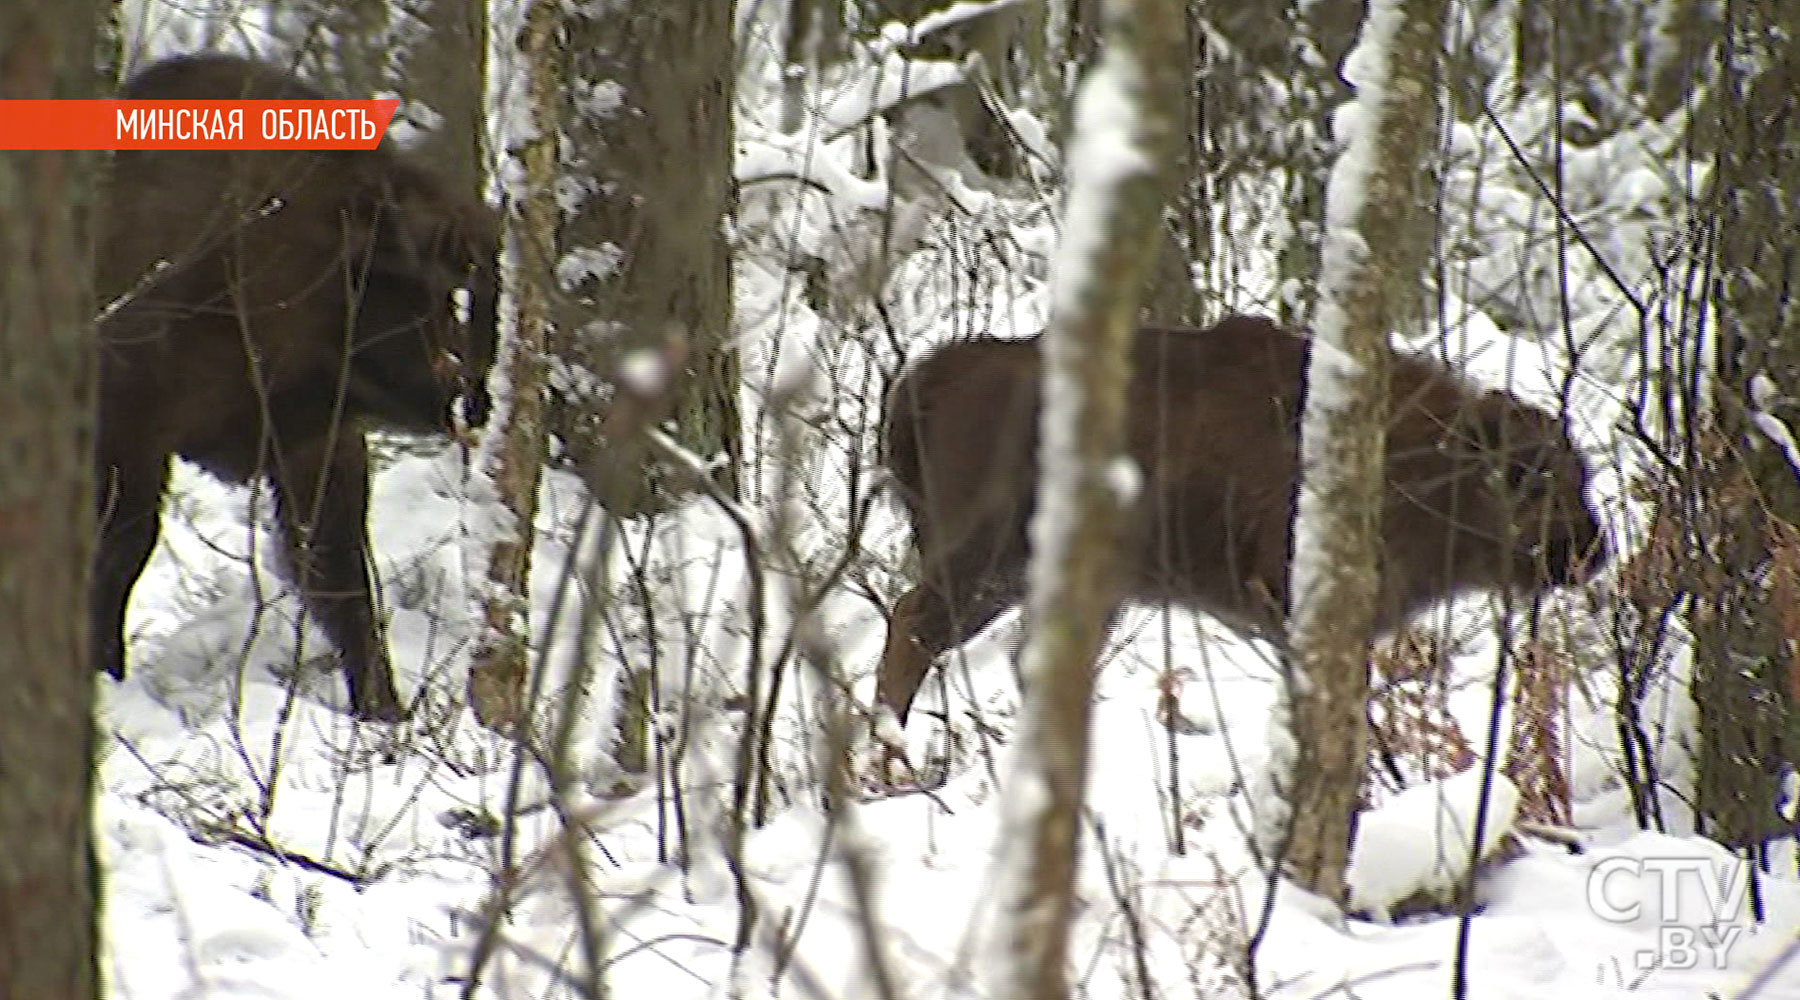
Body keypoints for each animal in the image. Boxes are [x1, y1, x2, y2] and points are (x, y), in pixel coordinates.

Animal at [92, 54, 500, 723]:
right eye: (420, 281)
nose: (469, 394)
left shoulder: (317, 445)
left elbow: (340, 575)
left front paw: (384, 712)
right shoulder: (127, 428)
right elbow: (119, 552)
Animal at [871, 316, 1605, 723]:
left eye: (1582, 476)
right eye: (1526, 479)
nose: (1590, 550)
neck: (1419, 451)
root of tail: (932, 379)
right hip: (984, 560)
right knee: (913, 623)